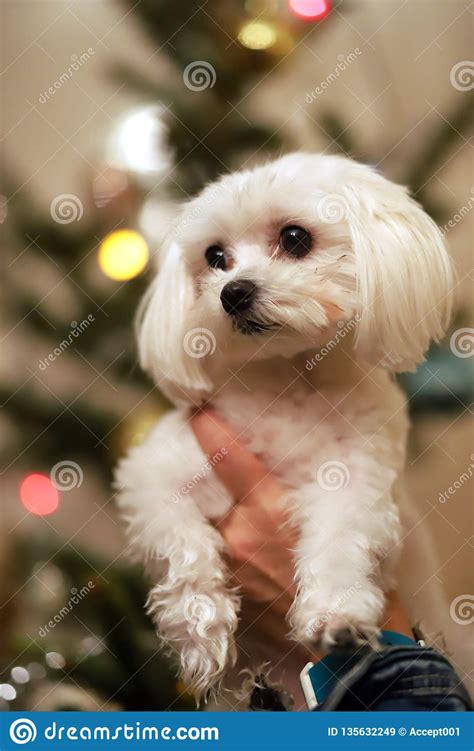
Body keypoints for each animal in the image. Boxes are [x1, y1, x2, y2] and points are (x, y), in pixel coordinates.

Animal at [115, 151, 452, 700]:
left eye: (295, 238)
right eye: (215, 256)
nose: (233, 293)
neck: (289, 378)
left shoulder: (359, 483)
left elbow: (341, 538)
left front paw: (336, 614)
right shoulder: (153, 476)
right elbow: (181, 545)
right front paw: (200, 625)